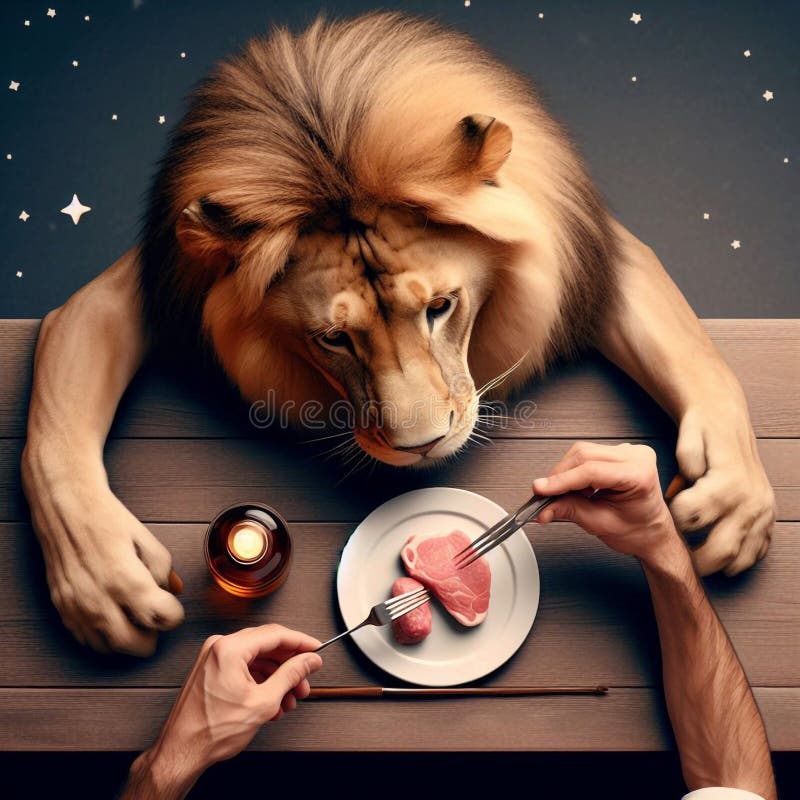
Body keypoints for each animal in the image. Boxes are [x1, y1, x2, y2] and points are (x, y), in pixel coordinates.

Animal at [22, 13, 775, 656]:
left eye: (441, 306)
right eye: (332, 338)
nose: (422, 448)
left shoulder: (591, 249)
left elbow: (700, 358)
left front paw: (732, 503)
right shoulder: (138, 286)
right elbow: (51, 438)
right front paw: (103, 581)